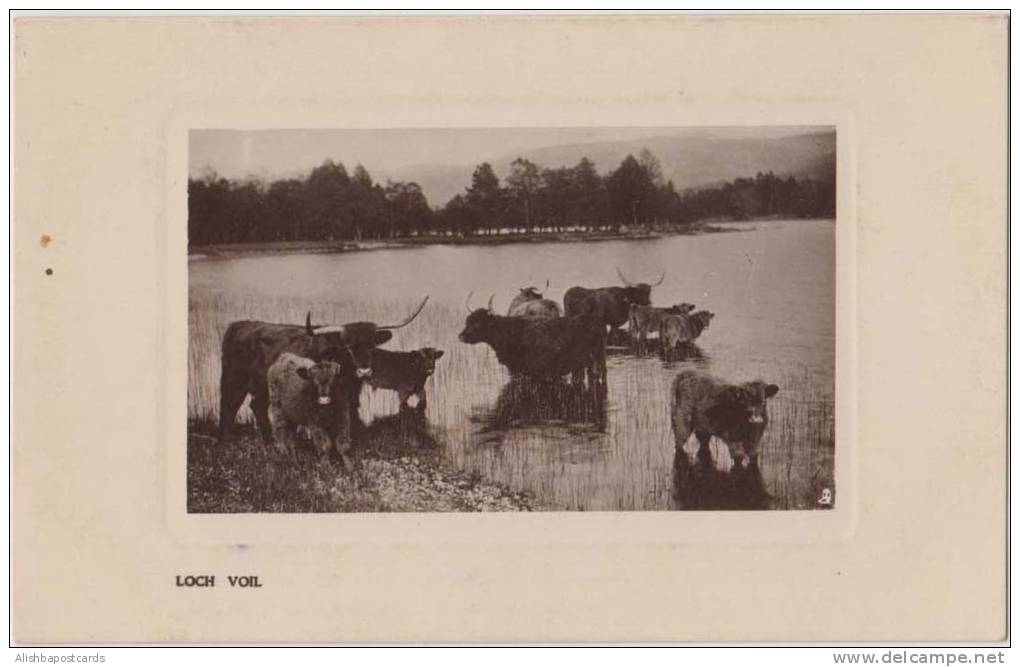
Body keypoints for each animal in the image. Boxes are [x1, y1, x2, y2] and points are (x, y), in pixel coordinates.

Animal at [217, 297, 428, 444]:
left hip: (262, 387)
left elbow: (352, 413)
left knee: (256, 406)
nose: (364, 372)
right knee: (228, 406)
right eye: (348, 346)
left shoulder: (352, 393)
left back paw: (270, 439)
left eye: (371, 345)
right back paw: (226, 439)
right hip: (233, 381)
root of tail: (238, 325)